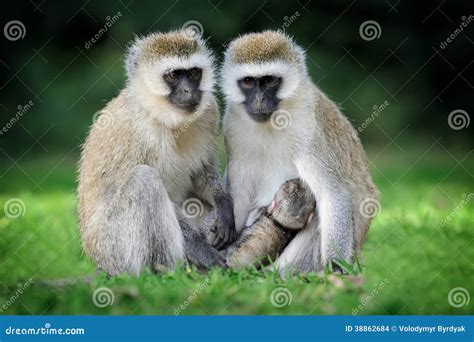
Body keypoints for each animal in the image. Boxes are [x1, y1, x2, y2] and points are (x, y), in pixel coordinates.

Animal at [77, 30, 237, 276]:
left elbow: (202, 173)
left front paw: (224, 204)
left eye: (194, 73)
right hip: (112, 249)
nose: (190, 91)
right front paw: (200, 248)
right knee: (144, 180)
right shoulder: (137, 132)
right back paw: (169, 270)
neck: (165, 118)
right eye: (173, 75)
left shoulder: (210, 111)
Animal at [220, 30, 380, 274]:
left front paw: (336, 268)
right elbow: (239, 196)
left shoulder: (308, 127)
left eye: (270, 80)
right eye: (248, 81)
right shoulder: (231, 125)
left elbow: (332, 193)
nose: (259, 100)